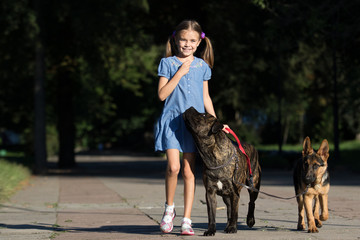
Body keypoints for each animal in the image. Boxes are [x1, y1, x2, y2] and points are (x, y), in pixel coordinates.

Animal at [183, 107, 262, 236]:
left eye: (203, 115)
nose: (190, 107)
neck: (211, 155)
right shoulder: (210, 192)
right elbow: (212, 214)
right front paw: (211, 230)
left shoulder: (235, 193)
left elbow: (235, 212)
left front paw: (233, 228)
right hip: (226, 195)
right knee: (229, 209)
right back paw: (227, 225)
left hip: (253, 184)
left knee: (251, 202)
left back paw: (249, 220)